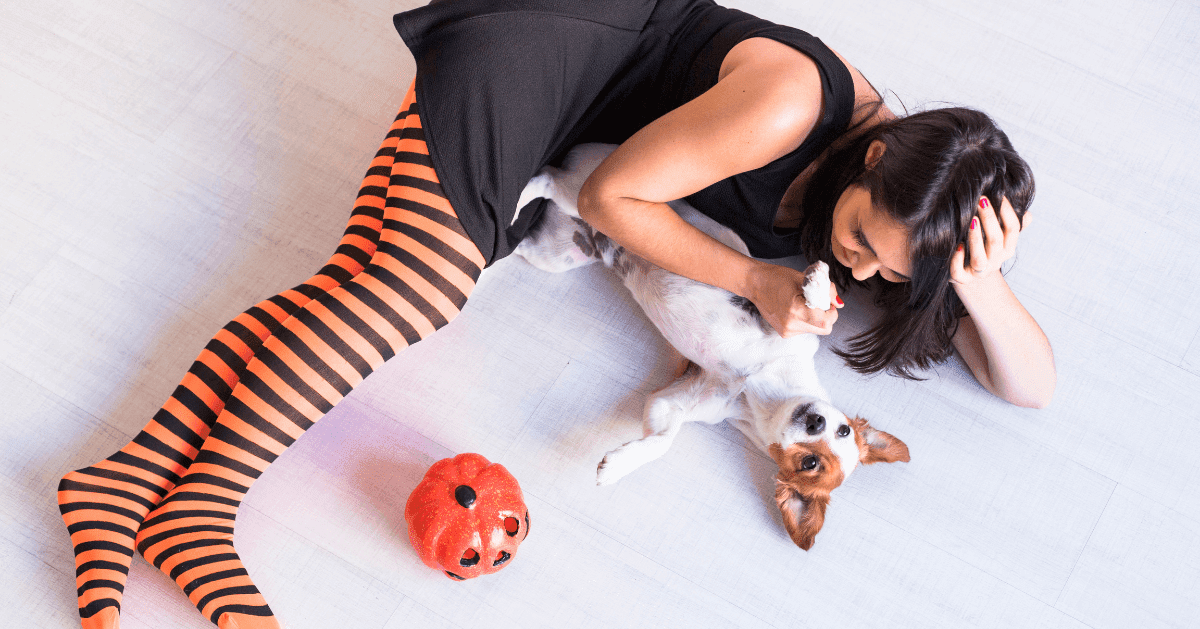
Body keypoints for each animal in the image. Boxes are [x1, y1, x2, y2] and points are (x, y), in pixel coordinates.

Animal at [508, 143, 907, 549]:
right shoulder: (783, 316)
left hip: (558, 254)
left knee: (538, 200)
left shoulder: (672, 402)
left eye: (810, 463)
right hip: (587, 197)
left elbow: (662, 441)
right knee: (546, 178)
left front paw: (618, 465)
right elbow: (818, 308)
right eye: (842, 430)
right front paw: (819, 284)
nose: (815, 420)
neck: (762, 386)